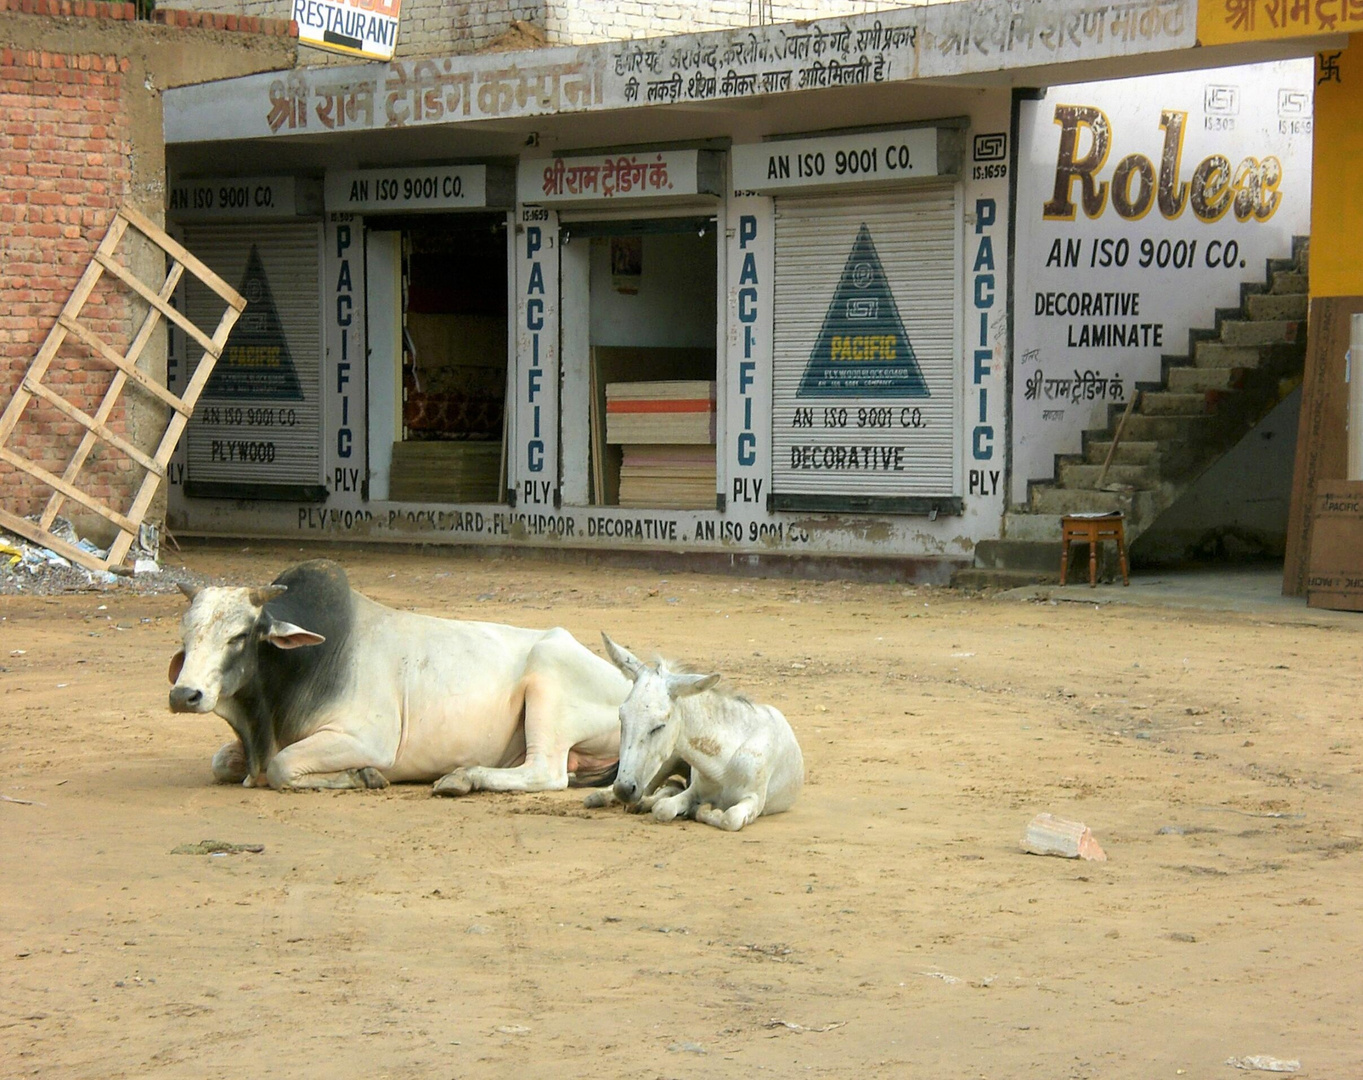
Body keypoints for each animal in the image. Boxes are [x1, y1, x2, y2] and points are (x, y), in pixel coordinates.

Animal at [164, 561, 626, 790]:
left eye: (239, 636)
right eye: (185, 634)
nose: (184, 695)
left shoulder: (367, 739)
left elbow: (280, 768)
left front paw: (363, 776)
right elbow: (223, 762)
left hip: (547, 680)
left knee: (546, 773)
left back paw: (462, 777)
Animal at [591, 638, 801, 829]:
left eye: (660, 726)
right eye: (621, 717)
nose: (624, 790)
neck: (723, 763)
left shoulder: (754, 800)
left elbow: (729, 818)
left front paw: (702, 811)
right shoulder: (694, 790)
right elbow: (663, 808)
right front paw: (692, 809)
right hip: (667, 762)